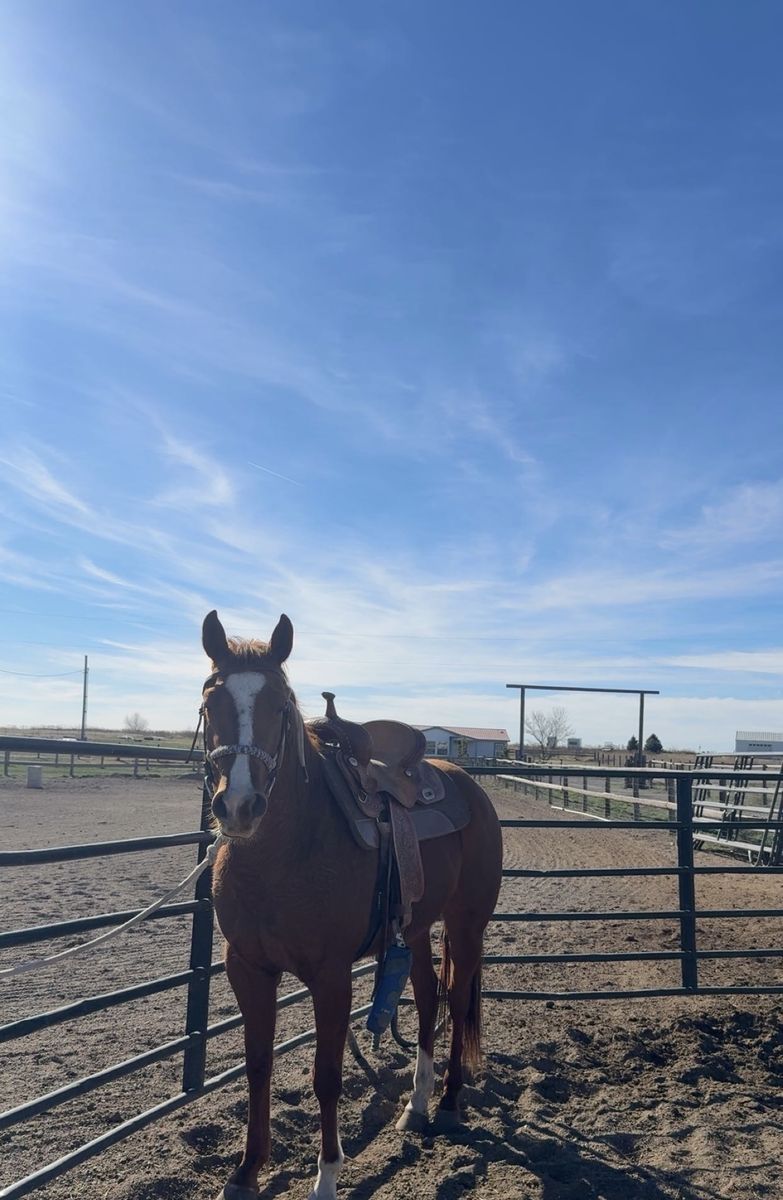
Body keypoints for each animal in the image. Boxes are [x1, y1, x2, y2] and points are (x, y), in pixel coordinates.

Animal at [200, 610, 503, 1200]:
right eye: (209, 701)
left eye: (281, 707)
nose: (240, 806)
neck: (284, 853)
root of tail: (467, 786)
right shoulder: (245, 966)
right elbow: (257, 1063)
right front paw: (247, 1170)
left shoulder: (331, 976)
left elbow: (327, 1077)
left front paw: (326, 1176)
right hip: (414, 929)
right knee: (427, 1000)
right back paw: (415, 1106)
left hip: (467, 924)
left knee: (457, 1003)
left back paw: (450, 1103)